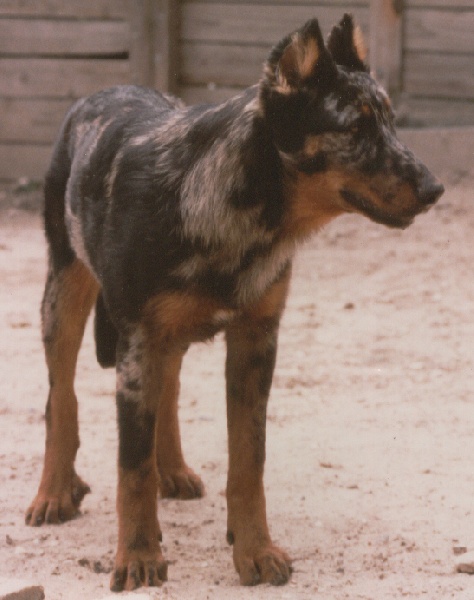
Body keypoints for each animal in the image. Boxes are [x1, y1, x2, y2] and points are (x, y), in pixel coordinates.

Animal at [26, 14, 444, 592]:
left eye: (391, 124)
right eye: (356, 130)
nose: (435, 188)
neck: (226, 204)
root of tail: (102, 92)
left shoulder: (254, 343)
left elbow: (249, 462)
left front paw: (254, 550)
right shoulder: (137, 345)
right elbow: (131, 468)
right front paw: (138, 555)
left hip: (162, 337)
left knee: (168, 391)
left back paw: (172, 469)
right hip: (65, 295)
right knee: (60, 397)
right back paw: (53, 491)